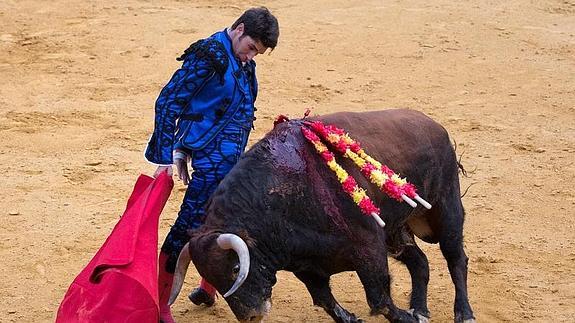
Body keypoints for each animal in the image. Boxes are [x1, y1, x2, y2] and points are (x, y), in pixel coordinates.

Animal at [169, 109, 474, 323]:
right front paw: (354, 318)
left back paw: (464, 312)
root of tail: (436, 127)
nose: (251, 316)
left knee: (456, 259)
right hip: (396, 231)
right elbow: (326, 301)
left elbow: (379, 299)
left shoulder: (369, 247)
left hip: (446, 209)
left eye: (235, 269)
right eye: (213, 279)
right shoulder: (306, 265)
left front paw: (406, 317)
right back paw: (420, 308)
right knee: (420, 262)